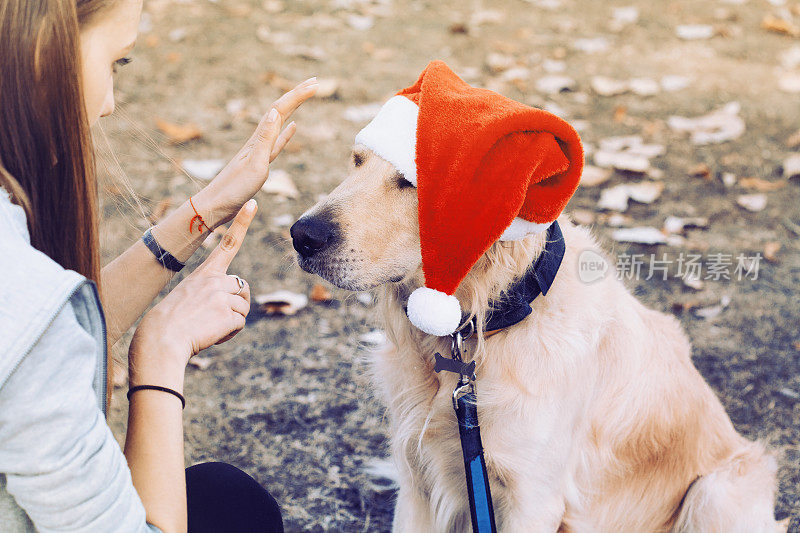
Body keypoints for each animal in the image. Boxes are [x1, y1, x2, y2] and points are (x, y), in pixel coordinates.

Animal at [290, 143, 780, 528]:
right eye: (356, 161)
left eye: (412, 180)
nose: (301, 235)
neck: (486, 322)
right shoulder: (417, 481)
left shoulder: (533, 498)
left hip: (715, 493)